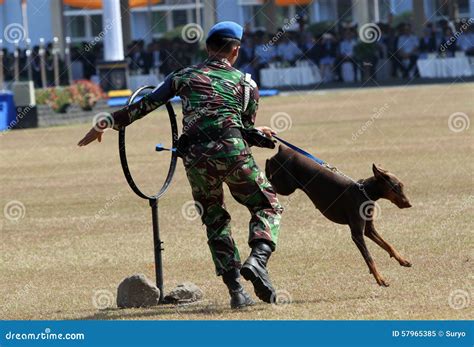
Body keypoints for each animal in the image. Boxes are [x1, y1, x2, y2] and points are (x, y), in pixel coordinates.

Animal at [264, 145, 412, 286]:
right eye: (396, 187)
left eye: (402, 186)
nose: (409, 204)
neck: (365, 193)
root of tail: (283, 148)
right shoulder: (357, 234)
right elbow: (369, 257)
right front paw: (380, 279)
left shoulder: (368, 229)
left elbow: (387, 244)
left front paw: (403, 260)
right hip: (285, 187)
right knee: (268, 170)